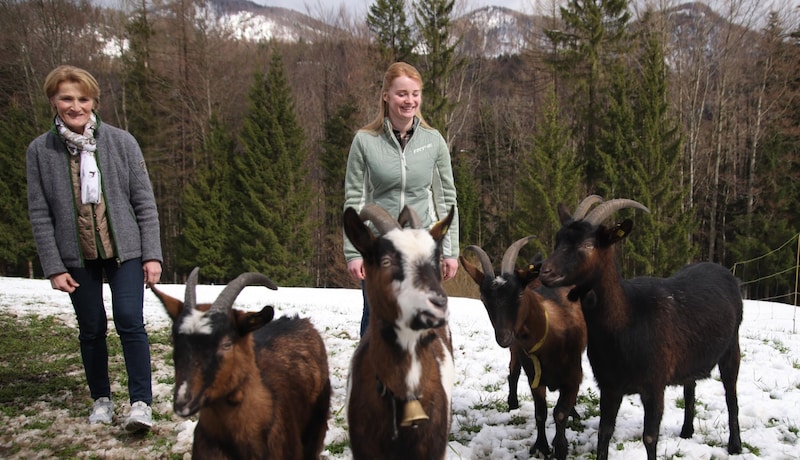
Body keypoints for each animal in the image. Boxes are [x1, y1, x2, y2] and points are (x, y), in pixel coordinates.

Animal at [460, 237, 584, 460]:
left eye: (519, 294)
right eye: (484, 299)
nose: (503, 337)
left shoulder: (573, 376)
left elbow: (560, 413)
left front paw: (560, 447)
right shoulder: (534, 373)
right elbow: (540, 412)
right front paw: (541, 446)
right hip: (517, 352)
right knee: (513, 372)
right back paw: (512, 403)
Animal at [536, 195, 744, 460]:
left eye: (588, 245)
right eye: (558, 239)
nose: (545, 272)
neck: (628, 320)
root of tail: (726, 273)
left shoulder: (654, 386)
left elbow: (650, 437)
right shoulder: (609, 385)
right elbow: (604, 432)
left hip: (732, 348)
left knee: (731, 396)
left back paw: (735, 445)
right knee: (690, 387)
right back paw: (687, 431)